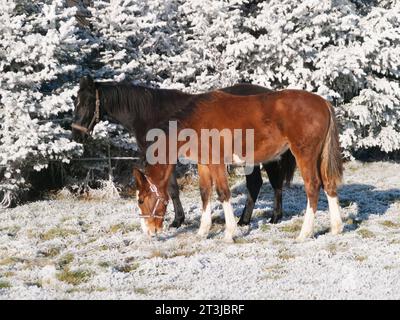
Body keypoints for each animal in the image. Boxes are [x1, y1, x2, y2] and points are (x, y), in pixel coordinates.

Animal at [70, 76, 296, 226]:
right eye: (75, 101)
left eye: (87, 102)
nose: (76, 134)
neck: (151, 114)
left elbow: (171, 189)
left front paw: (177, 221)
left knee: (264, 183)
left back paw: (260, 218)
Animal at [134, 89, 344, 241]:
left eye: (141, 201)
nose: (148, 231)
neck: (196, 123)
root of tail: (323, 103)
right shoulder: (203, 164)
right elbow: (205, 193)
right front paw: (202, 232)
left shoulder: (216, 162)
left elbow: (223, 193)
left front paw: (229, 233)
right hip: (319, 155)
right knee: (328, 184)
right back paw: (336, 228)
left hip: (305, 154)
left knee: (313, 187)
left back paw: (304, 233)